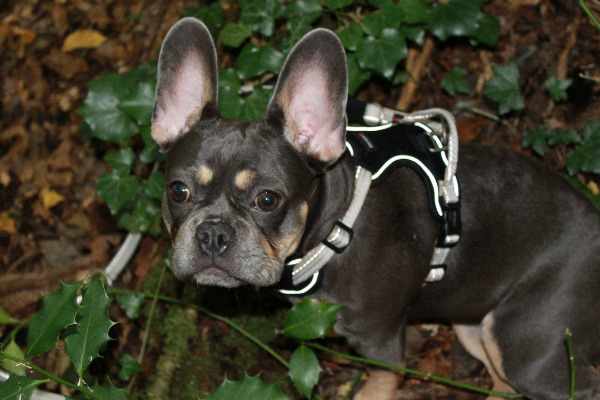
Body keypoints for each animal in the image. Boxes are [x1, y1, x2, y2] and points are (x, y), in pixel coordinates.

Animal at [151, 17, 600, 398]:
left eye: (267, 199)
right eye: (178, 191)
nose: (212, 232)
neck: (334, 229)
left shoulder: (380, 341)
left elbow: (382, 379)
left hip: (522, 344)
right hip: (474, 327)